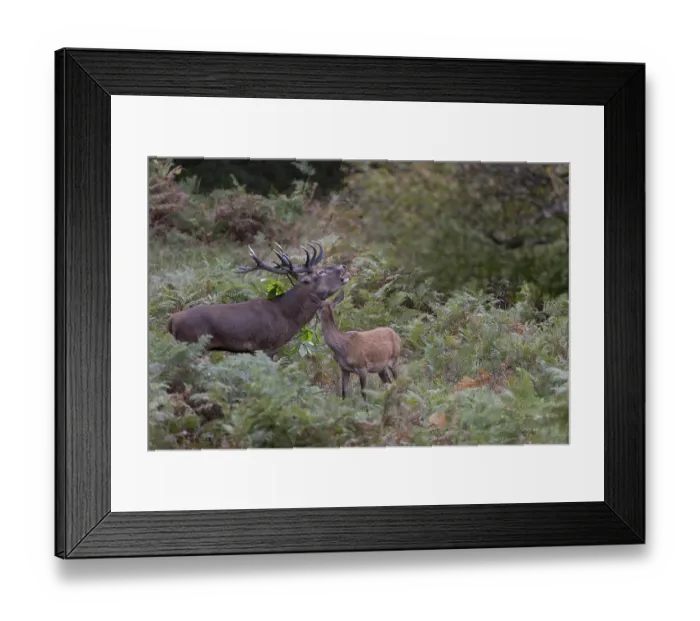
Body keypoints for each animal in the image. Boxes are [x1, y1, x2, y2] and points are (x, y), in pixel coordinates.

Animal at [167, 242, 350, 358]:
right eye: (320, 272)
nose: (343, 267)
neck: (288, 317)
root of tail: (171, 320)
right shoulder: (266, 346)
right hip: (192, 344)